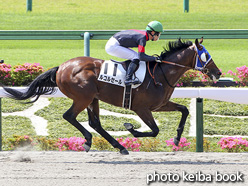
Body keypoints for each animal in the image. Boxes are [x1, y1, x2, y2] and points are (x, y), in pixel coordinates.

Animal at [2, 37, 222, 154]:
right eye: (205, 55)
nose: (218, 72)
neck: (161, 74)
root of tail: (61, 68)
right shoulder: (141, 108)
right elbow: (154, 130)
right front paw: (131, 128)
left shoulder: (160, 104)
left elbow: (184, 110)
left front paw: (176, 139)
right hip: (83, 97)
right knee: (70, 116)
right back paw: (92, 141)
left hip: (93, 99)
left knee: (95, 123)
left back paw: (117, 146)